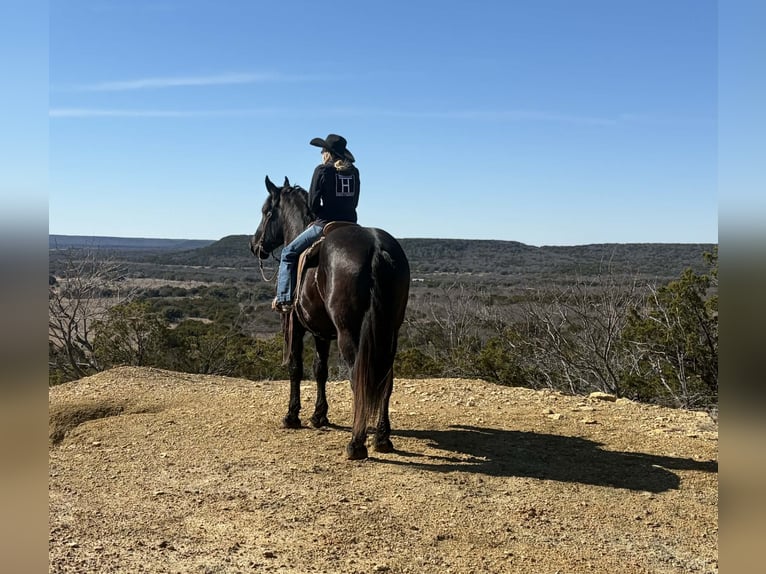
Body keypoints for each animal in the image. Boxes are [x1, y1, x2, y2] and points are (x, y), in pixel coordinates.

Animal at [250, 176, 411, 460]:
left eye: (266, 211)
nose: (254, 245)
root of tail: (377, 248)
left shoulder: (295, 327)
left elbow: (296, 368)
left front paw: (292, 416)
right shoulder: (321, 332)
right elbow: (320, 370)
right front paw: (319, 416)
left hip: (350, 334)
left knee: (358, 379)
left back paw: (356, 444)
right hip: (389, 332)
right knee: (385, 379)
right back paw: (382, 438)